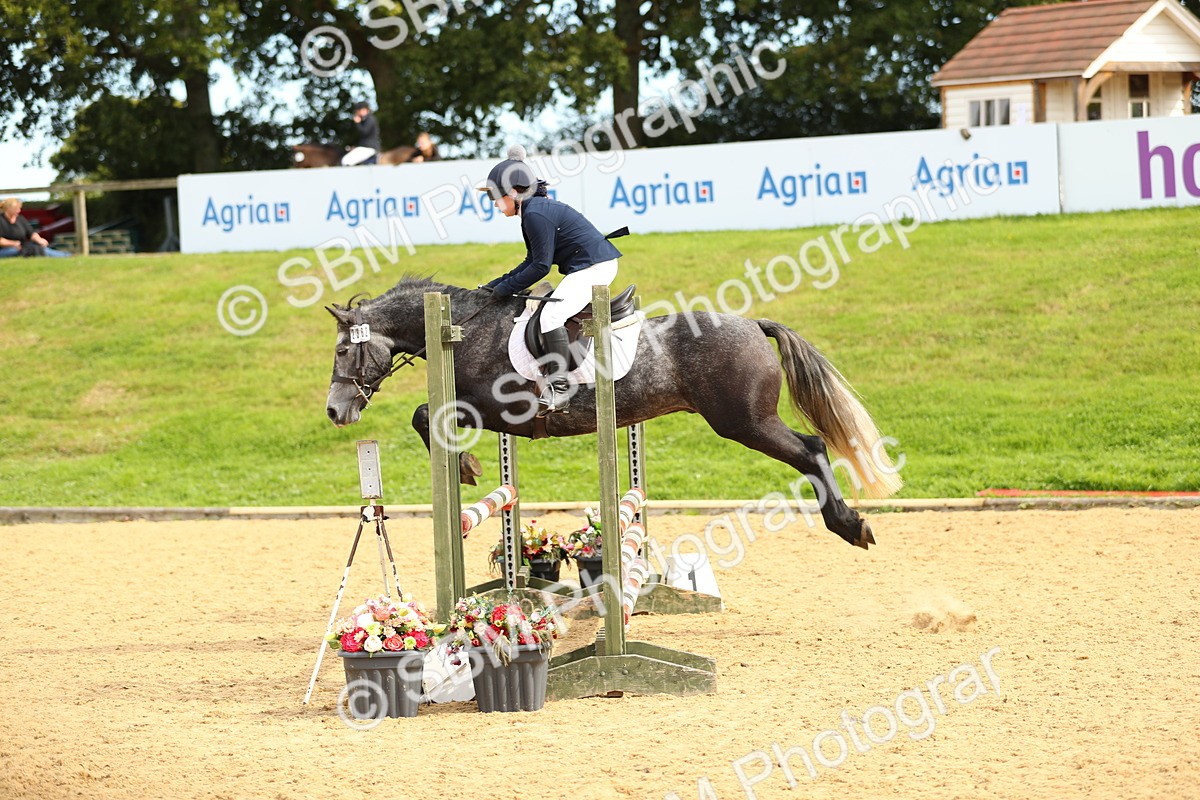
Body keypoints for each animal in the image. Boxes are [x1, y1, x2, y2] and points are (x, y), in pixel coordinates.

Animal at [324, 276, 902, 549]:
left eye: (342, 351)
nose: (334, 411)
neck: (466, 329)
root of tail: (754, 324)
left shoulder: (499, 410)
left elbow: (425, 415)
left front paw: (464, 468)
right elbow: (426, 415)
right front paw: (467, 468)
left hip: (746, 423)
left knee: (812, 450)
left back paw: (850, 525)